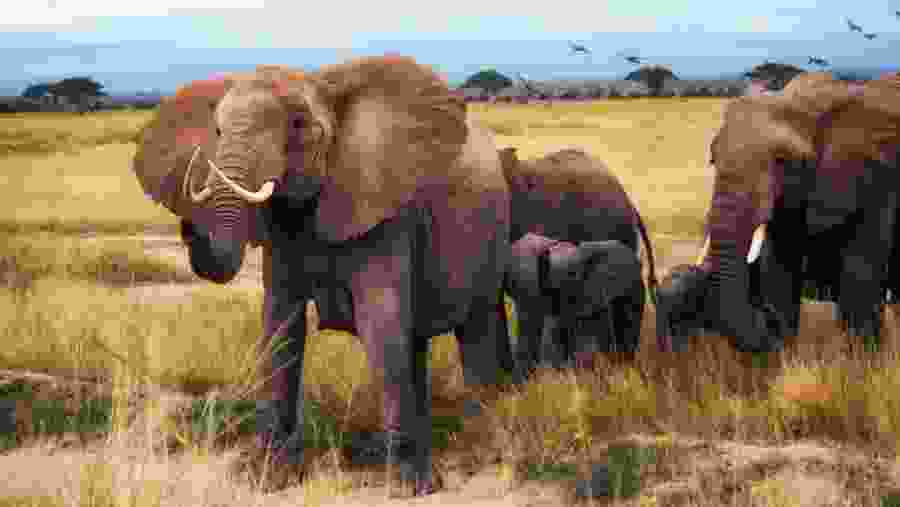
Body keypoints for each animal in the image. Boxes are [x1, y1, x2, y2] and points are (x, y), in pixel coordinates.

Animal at [130, 56, 516, 496]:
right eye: (216, 131)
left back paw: (480, 441)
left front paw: (410, 488)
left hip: (490, 233)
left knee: (475, 331)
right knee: (414, 344)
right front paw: (269, 478)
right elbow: (281, 325)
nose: (189, 220)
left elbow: (380, 323)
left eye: (299, 124)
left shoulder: (383, 208)